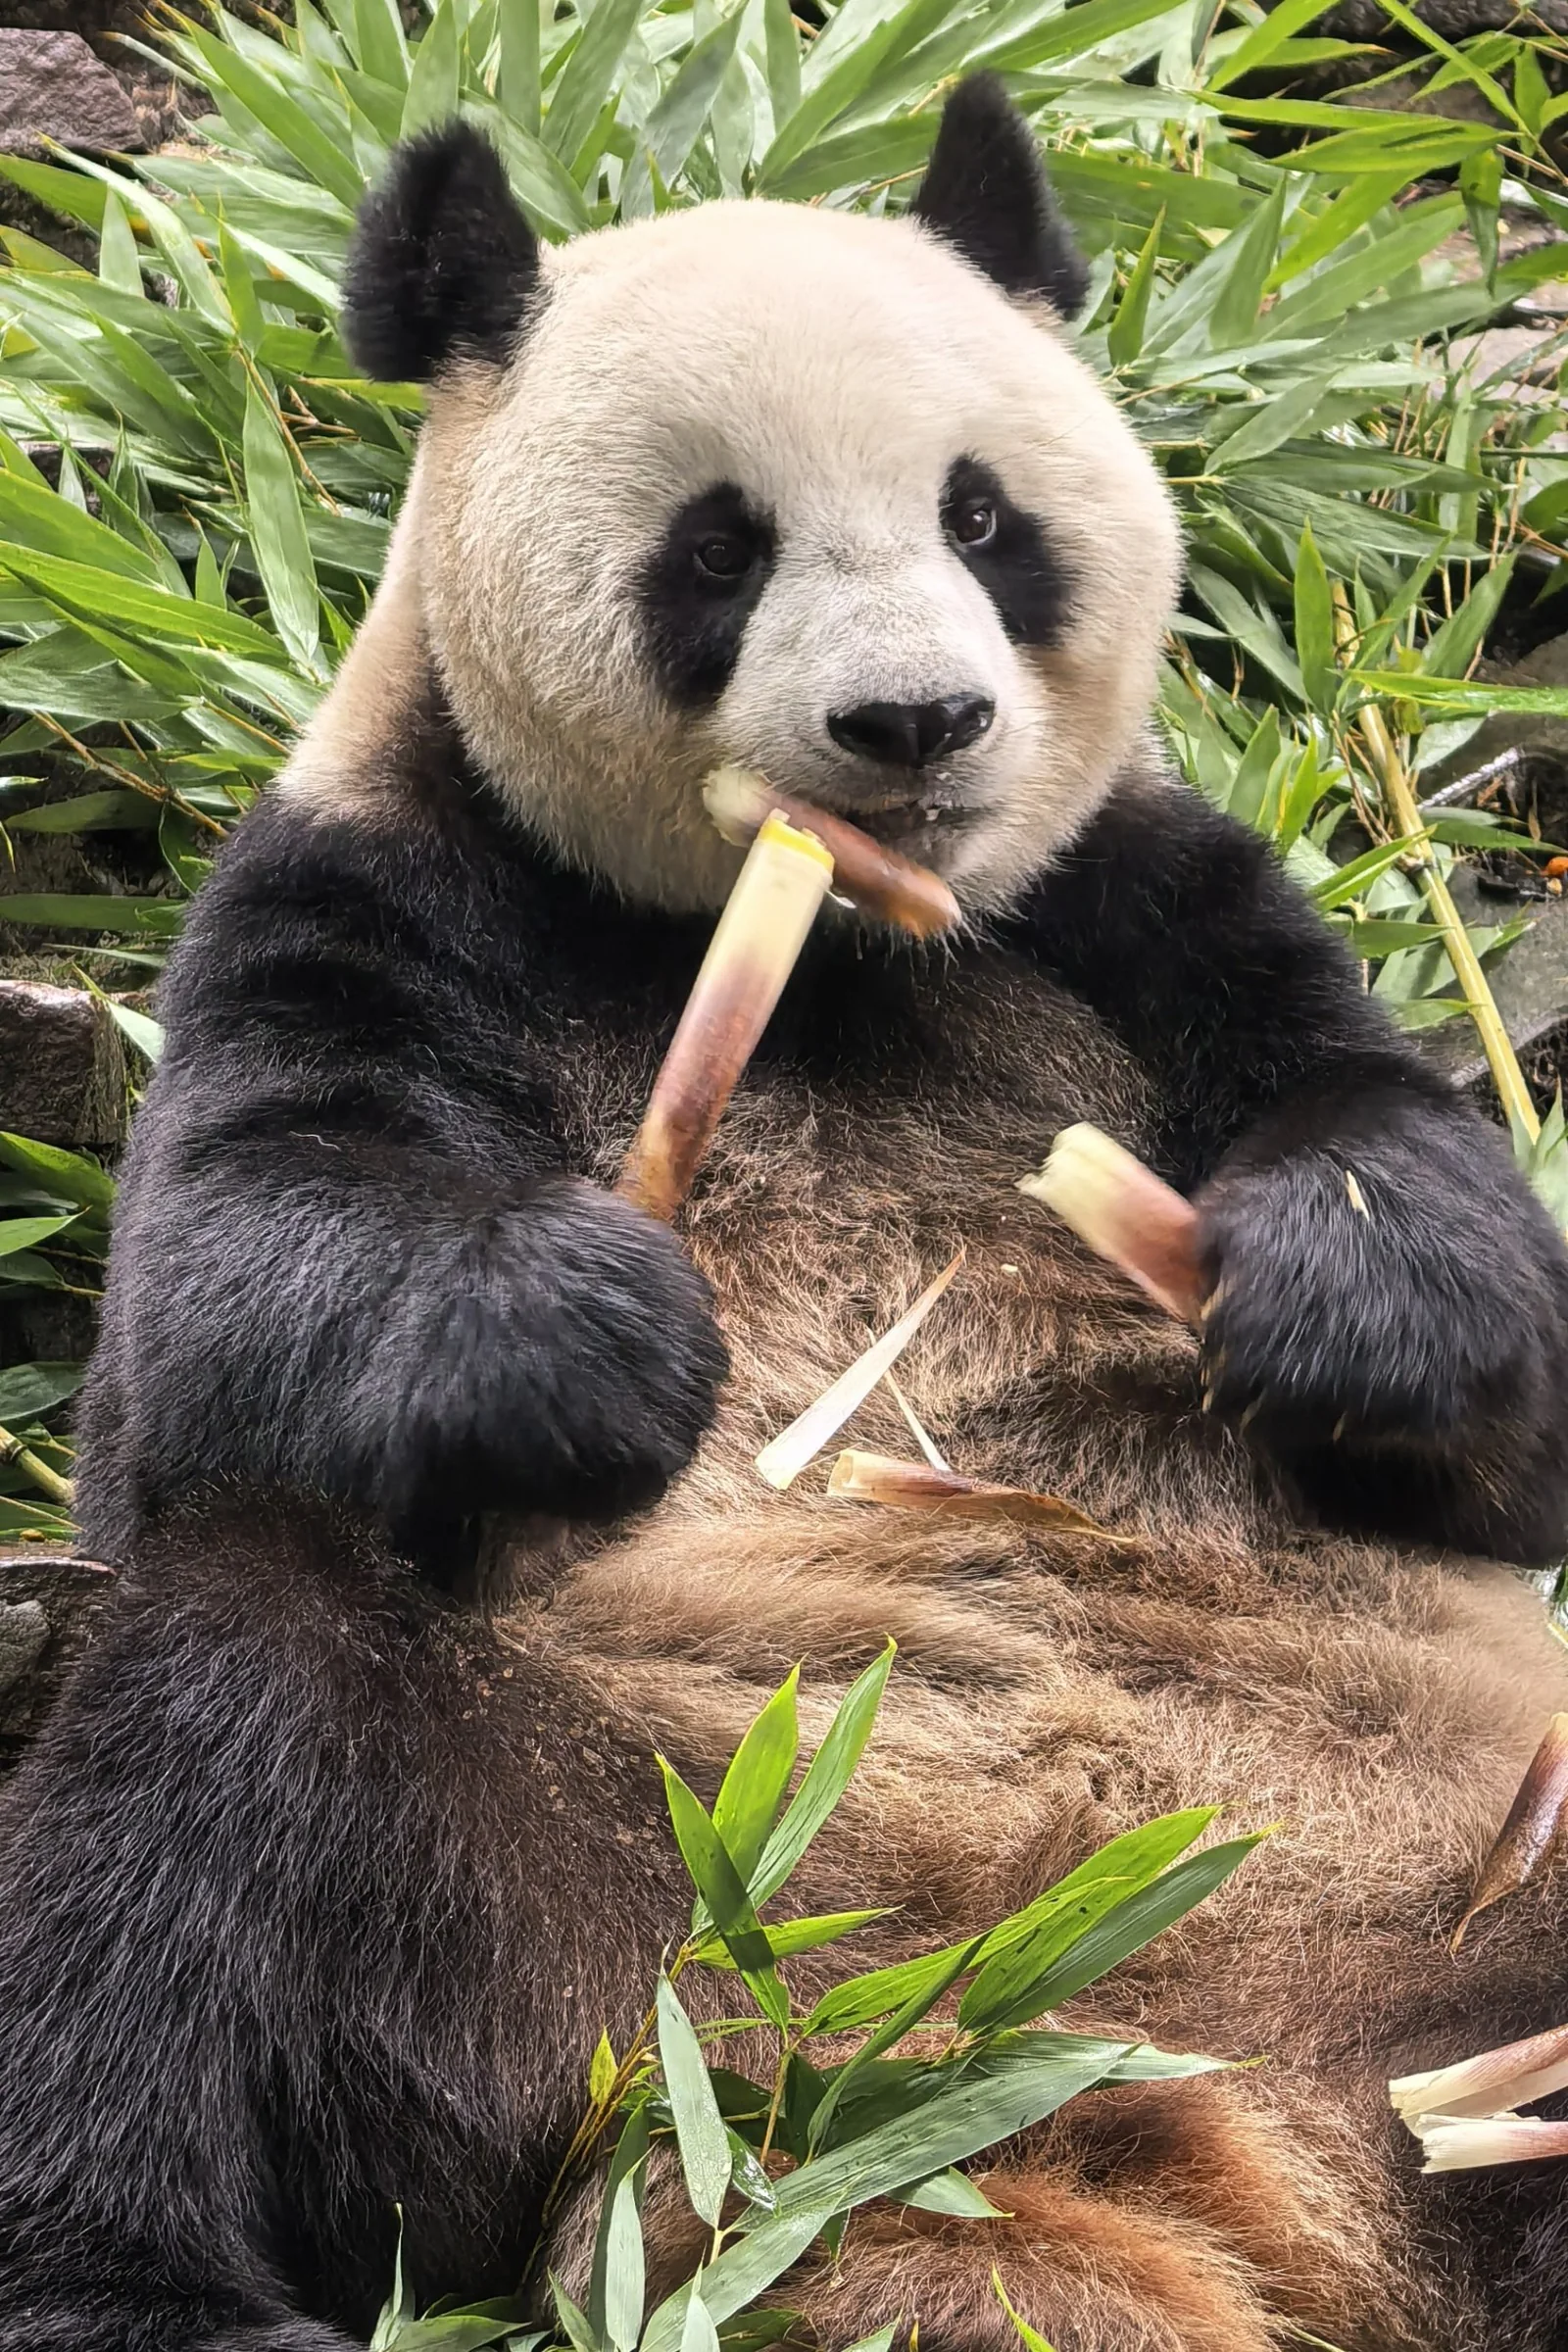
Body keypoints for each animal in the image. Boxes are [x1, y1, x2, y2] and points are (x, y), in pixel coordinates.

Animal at [3, 70, 1568, 2352]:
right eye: (718, 548)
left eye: (984, 520)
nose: (915, 724)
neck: (838, 944)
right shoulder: (372, 880)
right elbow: (222, 1296)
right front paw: (591, 1331)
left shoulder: (1137, 901)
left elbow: (1480, 1339)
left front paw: (1342, 1286)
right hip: (582, 1876)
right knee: (218, 1760)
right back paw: (135, 2288)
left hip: (1477, 1872)